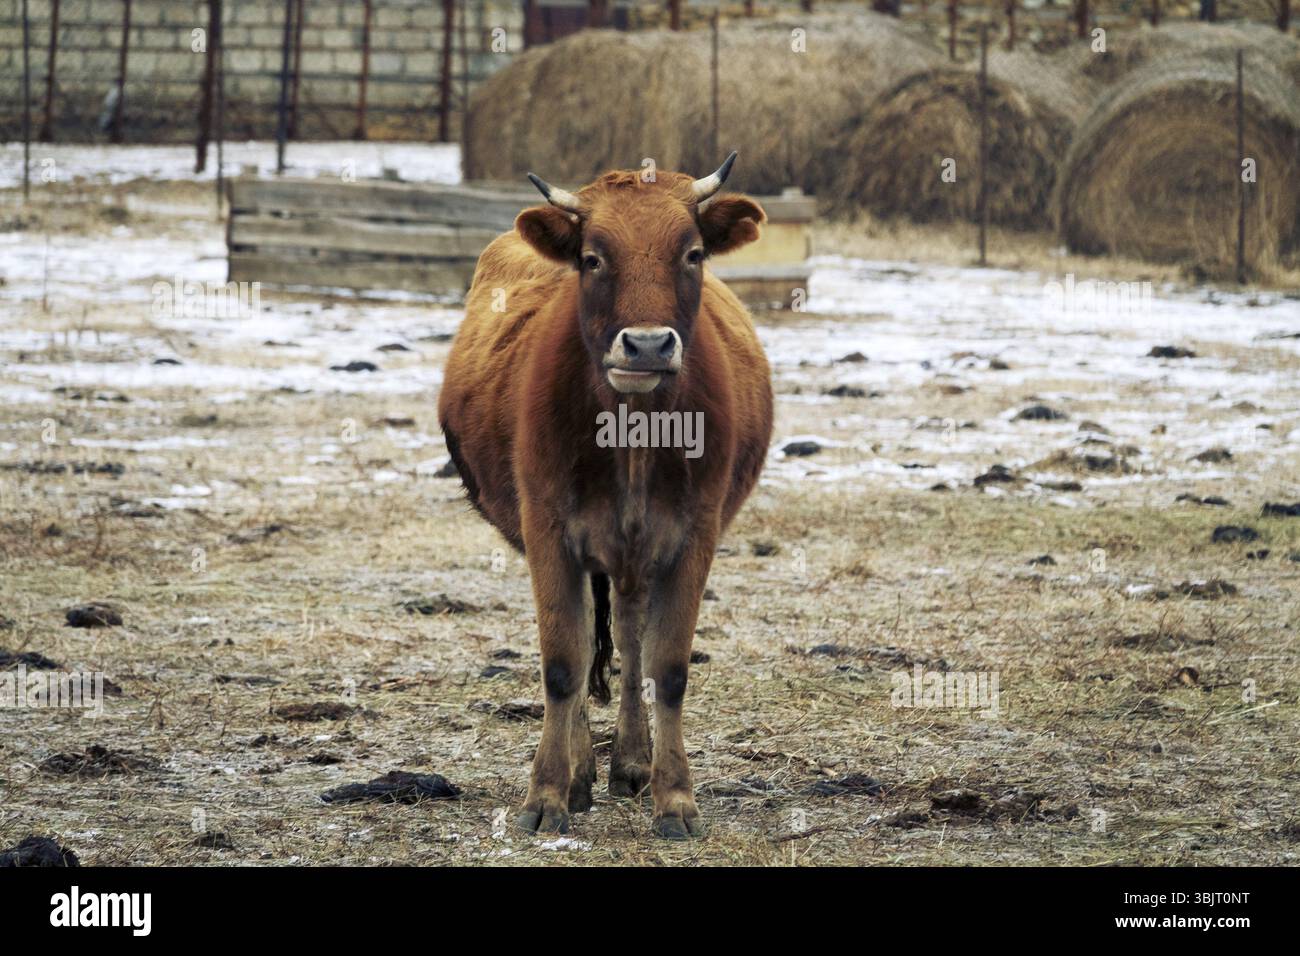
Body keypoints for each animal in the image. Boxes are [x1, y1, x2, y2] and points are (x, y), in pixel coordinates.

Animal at [437, 154, 773, 839]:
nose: (646, 345)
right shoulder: (548, 535)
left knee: (627, 636)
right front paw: (548, 793)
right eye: (592, 258)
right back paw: (584, 772)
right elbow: (562, 664)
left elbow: (666, 668)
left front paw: (675, 797)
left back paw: (630, 762)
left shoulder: (693, 537)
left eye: (692, 253)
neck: (634, 432)